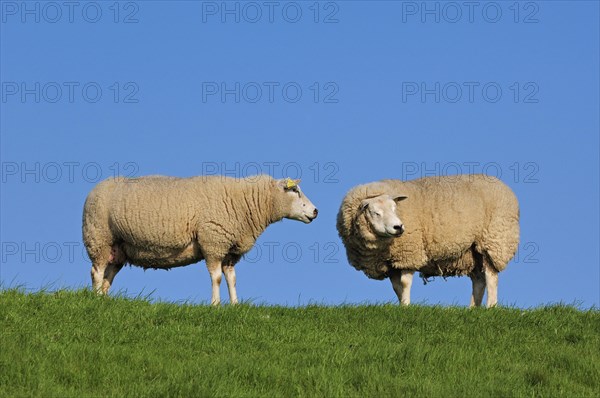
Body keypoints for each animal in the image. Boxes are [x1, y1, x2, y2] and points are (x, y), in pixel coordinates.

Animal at [85, 175, 318, 304]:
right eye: (295, 190)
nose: (316, 211)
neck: (245, 203)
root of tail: (95, 188)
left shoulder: (229, 249)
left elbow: (232, 278)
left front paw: (235, 305)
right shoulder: (213, 242)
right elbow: (217, 278)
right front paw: (215, 305)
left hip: (119, 248)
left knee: (108, 275)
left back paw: (105, 299)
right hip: (98, 237)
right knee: (97, 272)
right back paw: (95, 299)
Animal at [338, 175, 520, 308]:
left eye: (394, 208)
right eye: (375, 213)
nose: (399, 227)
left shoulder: (410, 253)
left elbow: (404, 283)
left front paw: (406, 307)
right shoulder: (392, 263)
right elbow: (397, 287)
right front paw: (401, 305)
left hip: (494, 241)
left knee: (491, 276)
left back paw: (491, 307)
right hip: (472, 252)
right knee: (479, 280)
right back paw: (472, 309)